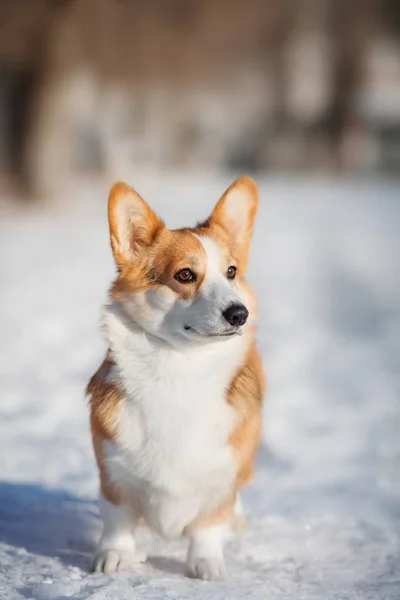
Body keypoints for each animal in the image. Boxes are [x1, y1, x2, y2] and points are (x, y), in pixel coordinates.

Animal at [86, 176, 264, 580]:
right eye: (185, 274)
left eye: (231, 272)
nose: (239, 314)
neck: (180, 366)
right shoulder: (112, 473)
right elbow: (117, 520)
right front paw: (114, 556)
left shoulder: (221, 479)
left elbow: (208, 526)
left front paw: (207, 564)